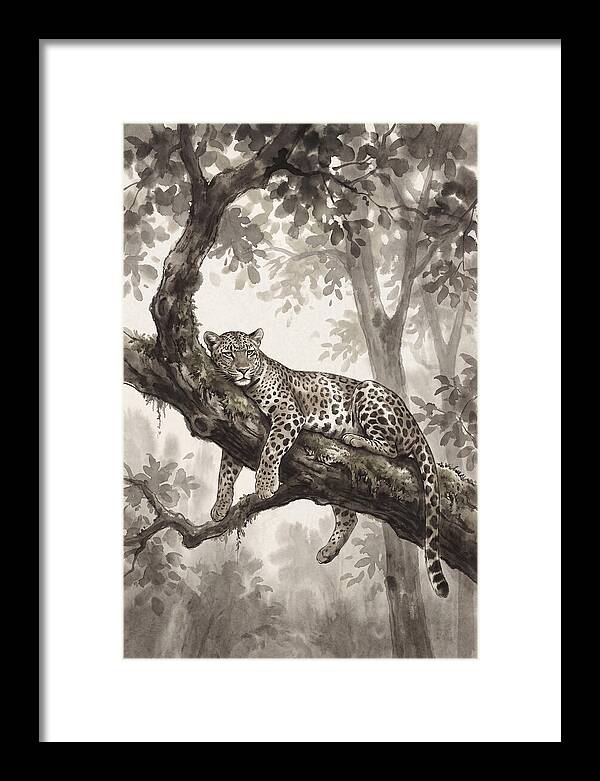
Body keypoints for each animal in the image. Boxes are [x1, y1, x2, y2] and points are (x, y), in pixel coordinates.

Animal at [204, 328, 449, 598]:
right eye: (228, 354)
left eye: (249, 352)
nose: (244, 370)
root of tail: (414, 424)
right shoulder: (236, 426)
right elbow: (226, 471)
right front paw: (220, 506)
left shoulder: (288, 413)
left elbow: (271, 449)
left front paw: (266, 484)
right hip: (335, 485)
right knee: (349, 517)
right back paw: (328, 551)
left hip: (368, 391)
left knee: (391, 449)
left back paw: (354, 438)